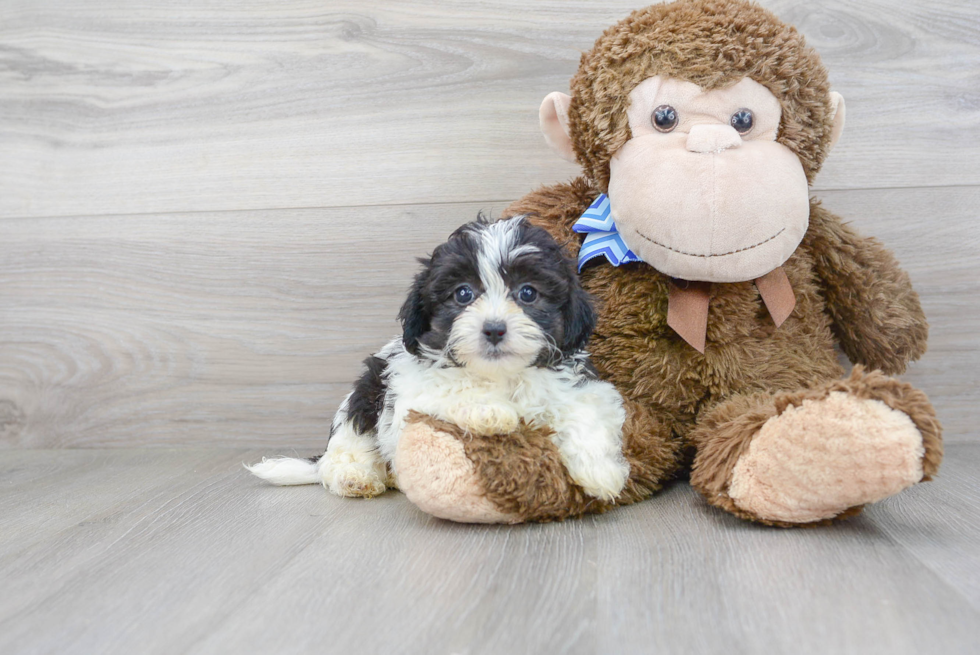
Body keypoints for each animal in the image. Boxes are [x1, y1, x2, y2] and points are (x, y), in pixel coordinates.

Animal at [245, 217, 628, 502]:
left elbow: (584, 412)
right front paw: (492, 411)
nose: (494, 329)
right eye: (463, 294)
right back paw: (356, 476)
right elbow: (449, 387)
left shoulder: (582, 386)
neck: (500, 374)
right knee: (345, 446)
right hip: (366, 393)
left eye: (528, 293)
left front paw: (602, 473)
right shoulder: (411, 386)